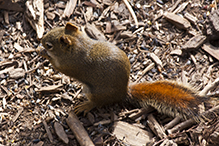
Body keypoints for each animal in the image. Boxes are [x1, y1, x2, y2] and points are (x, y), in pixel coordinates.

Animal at [39, 22, 205, 121]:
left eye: (49, 45)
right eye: (54, 29)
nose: (40, 40)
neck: (79, 45)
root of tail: (123, 93)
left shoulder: (70, 65)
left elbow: (58, 67)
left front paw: (44, 54)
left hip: (94, 92)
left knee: (96, 103)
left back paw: (85, 105)